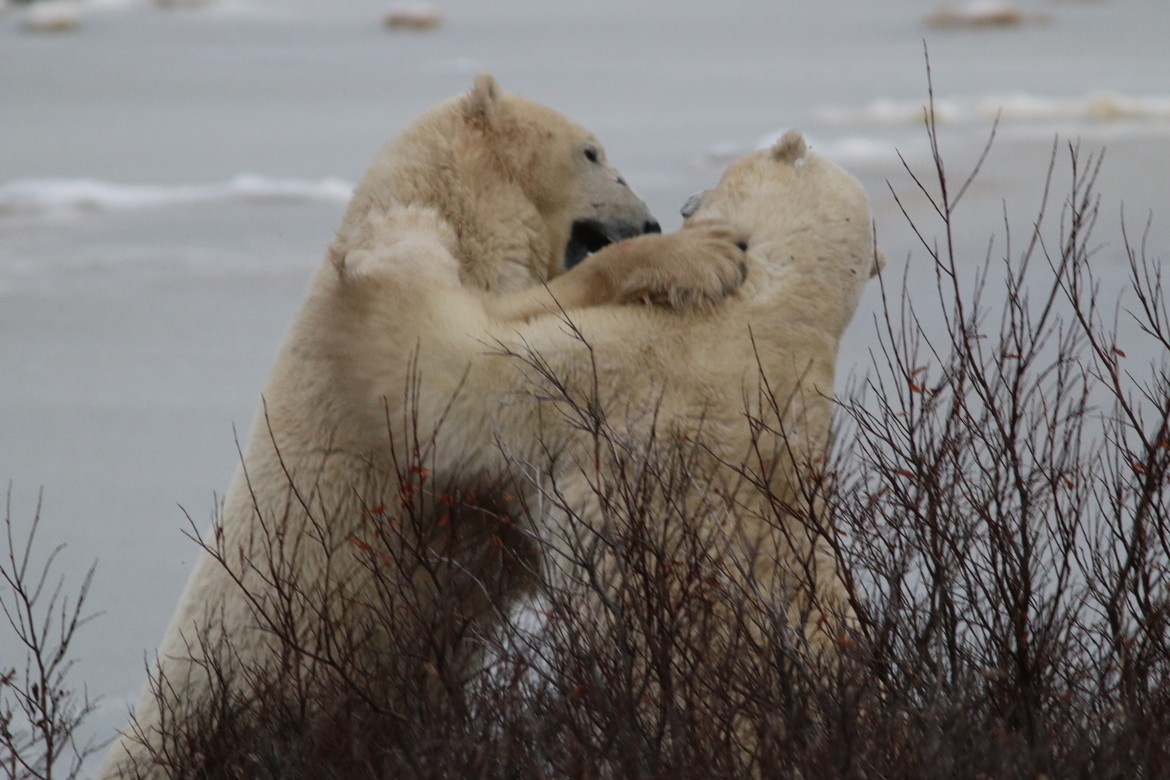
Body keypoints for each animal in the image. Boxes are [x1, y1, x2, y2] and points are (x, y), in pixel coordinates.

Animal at [99, 75, 749, 779]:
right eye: (592, 152)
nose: (650, 218)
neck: (438, 208)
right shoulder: (372, 298)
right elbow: (463, 356)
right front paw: (708, 253)